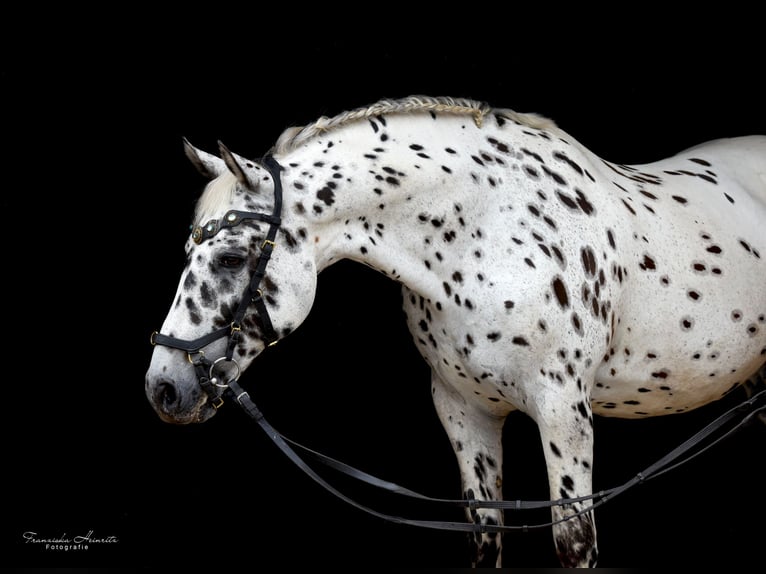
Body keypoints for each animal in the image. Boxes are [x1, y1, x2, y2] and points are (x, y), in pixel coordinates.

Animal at [146, 94, 766, 568]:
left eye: (230, 258)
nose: (164, 388)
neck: (491, 231)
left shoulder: (564, 411)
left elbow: (574, 543)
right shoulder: (464, 410)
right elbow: (484, 537)